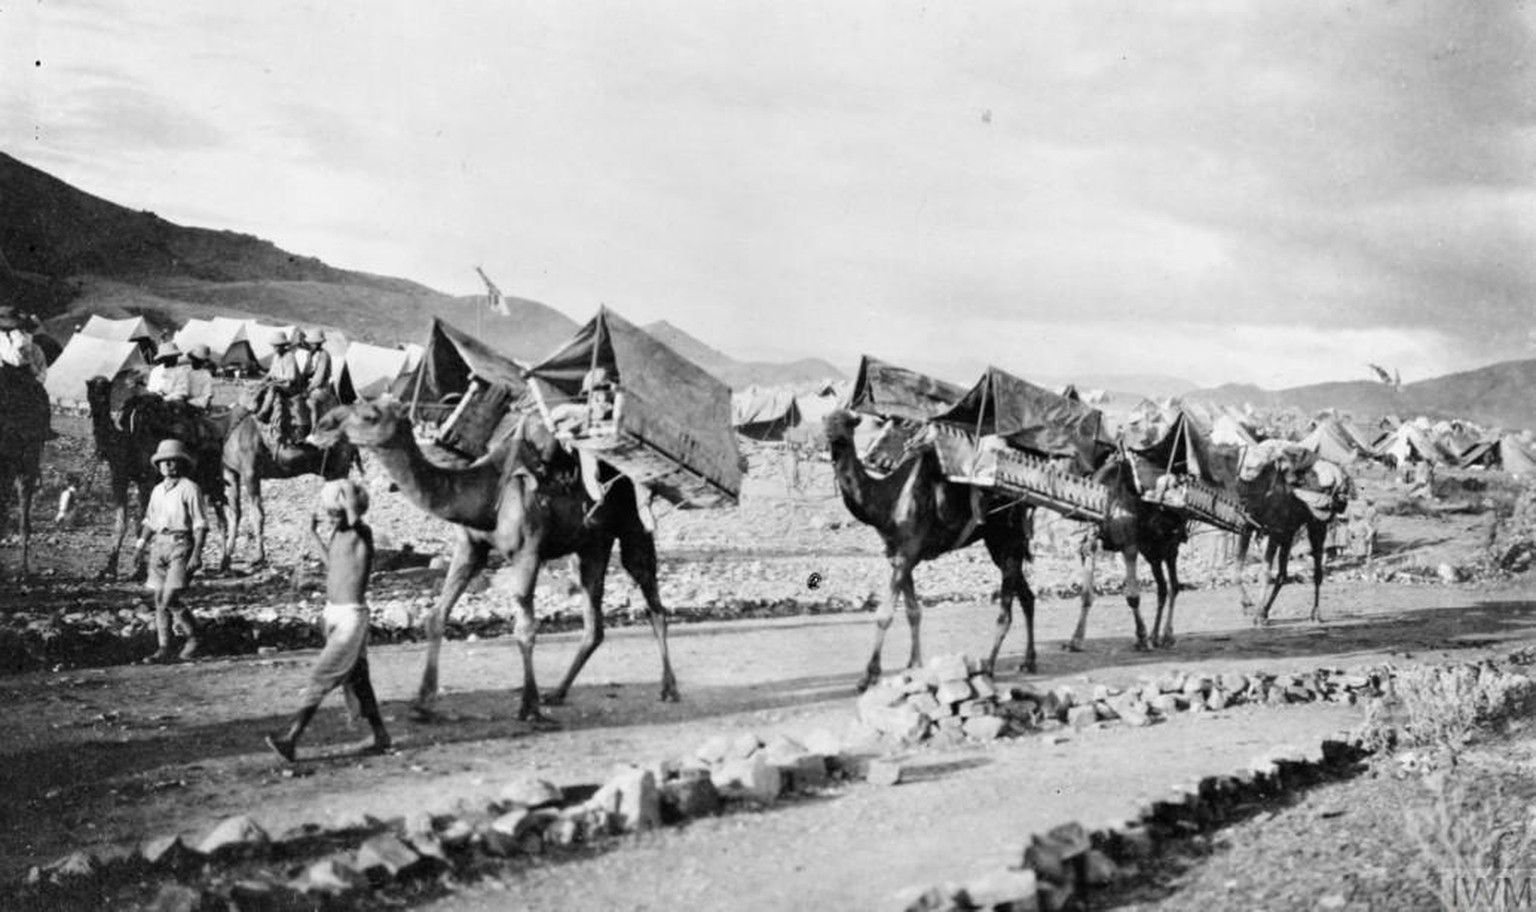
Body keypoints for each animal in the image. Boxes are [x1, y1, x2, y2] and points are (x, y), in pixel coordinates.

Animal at [219, 388, 356, 568]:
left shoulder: (250, 472)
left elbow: (257, 514)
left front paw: (258, 556)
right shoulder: (230, 470)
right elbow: (234, 512)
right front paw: (226, 557)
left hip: (339, 468)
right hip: (332, 471)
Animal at [308, 399, 675, 718]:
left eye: (368, 415)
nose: (321, 427)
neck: (483, 496)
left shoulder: (528, 552)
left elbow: (525, 629)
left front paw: (528, 707)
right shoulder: (470, 547)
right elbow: (436, 616)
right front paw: (423, 702)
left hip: (633, 529)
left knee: (653, 602)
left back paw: (668, 688)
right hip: (591, 545)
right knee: (594, 621)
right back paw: (557, 693)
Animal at [823, 408, 1038, 684]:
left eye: (847, 423)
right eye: (826, 420)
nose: (831, 436)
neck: (887, 500)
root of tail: (1024, 502)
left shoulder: (906, 554)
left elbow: (884, 614)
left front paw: (869, 675)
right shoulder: (898, 557)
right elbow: (913, 612)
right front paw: (914, 665)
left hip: (1009, 540)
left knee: (1006, 612)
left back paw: (989, 667)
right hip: (999, 545)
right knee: (1027, 596)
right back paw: (1028, 662)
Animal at [1069, 451, 1185, 650]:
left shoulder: (1129, 546)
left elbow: (1132, 596)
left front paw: (1142, 637)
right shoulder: (1090, 545)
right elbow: (1086, 595)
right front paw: (1076, 640)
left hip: (1170, 547)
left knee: (1174, 586)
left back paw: (1167, 636)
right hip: (1152, 550)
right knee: (1162, 587)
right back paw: (1155, 636)